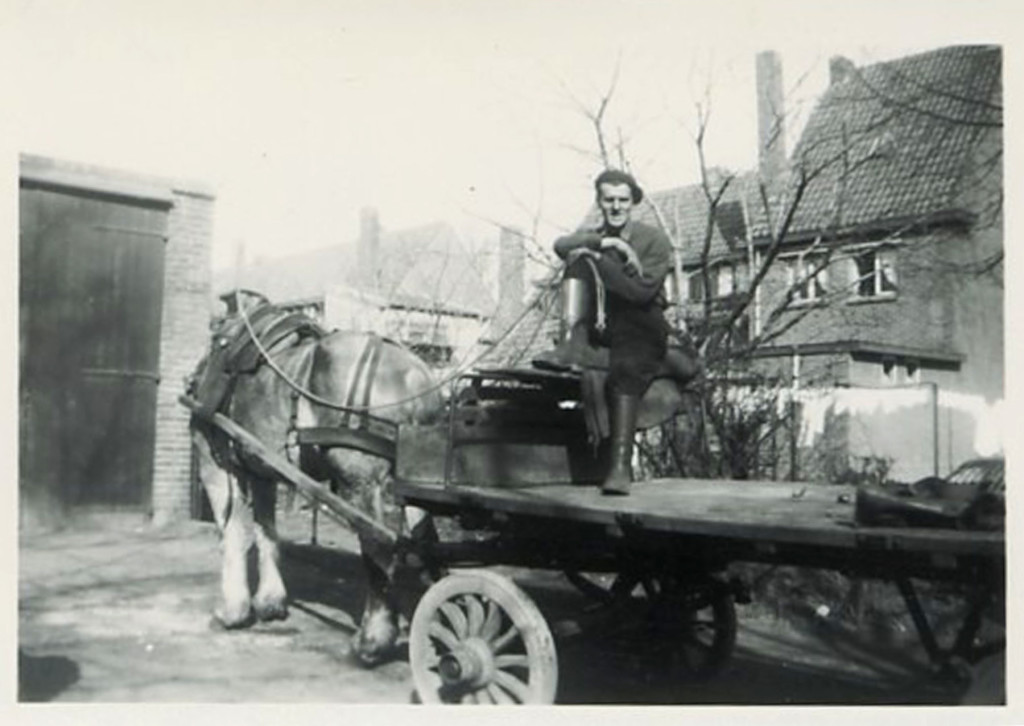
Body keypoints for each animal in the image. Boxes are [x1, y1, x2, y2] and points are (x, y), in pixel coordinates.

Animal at [186, 292, 442, 663]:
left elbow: (231, 532)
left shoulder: (214, 459)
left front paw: (233, 610)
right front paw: (270, 602)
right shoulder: (263, 467)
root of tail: (417, 377)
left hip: (359, 481)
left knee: (379, 544)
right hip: (416, 481)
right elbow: (267, 532)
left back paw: (372, 641)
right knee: (426, 539)